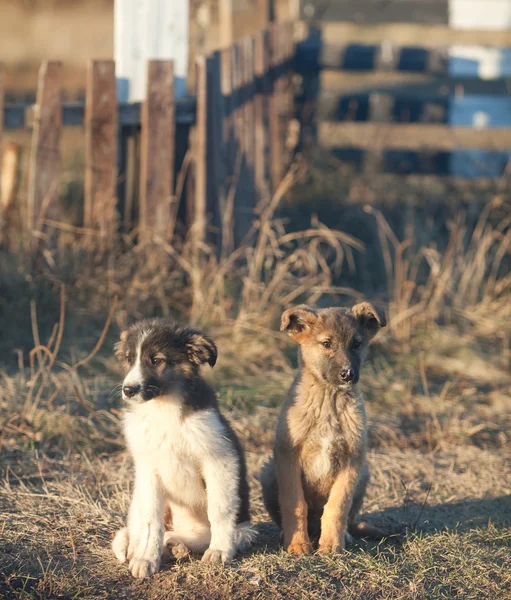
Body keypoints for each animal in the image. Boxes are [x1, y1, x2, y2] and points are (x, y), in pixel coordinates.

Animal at [111, 318, 252, 576]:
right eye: (129, 359)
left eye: (156, 360)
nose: (128, 390)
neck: (163, 408)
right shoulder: (148, 469)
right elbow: (151, 520)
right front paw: (146, 558)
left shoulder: (219, 459)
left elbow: (219, 508)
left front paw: (219, 550)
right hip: (139, 497)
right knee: (145, 527)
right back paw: (147, 548)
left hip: (243, 530)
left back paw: (177, 546)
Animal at [262, 302, 386, 556]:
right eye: (326, 344)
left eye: (356, 344)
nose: (348, 374)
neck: (329, 401)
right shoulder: (288, 457)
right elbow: (295, 504)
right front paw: (297, 544)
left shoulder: (352, 460)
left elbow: (337, 507)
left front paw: (331, 545)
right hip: (268, 472)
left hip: (364, 474)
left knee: (347, 518)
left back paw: (344, 535)